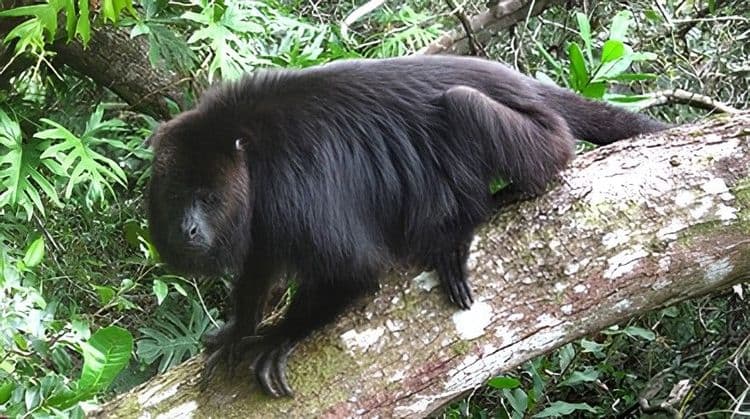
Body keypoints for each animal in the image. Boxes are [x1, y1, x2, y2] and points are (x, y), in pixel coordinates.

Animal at [146, 55, 667, 398]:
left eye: (207, 198)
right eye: (175, 198)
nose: (188, 229)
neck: (248, 154)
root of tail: (524, 81)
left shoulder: (291, 189)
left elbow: (353, 269)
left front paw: (281, 336)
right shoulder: (261, 213)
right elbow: (260, 260)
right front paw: (239, 329)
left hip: (543, 140)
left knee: (465, 107)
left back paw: (460, 226)